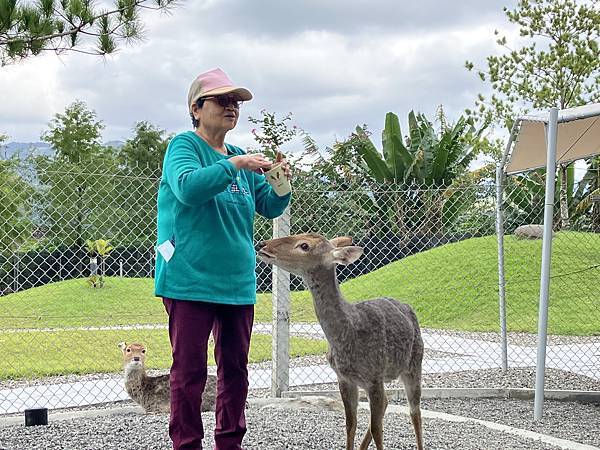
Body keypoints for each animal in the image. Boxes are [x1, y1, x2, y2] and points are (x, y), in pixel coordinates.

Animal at [255, 234, 424, 448]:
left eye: (304, 245)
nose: (262, 244)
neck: (346, 336)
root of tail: (408, 308)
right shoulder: (344, 378)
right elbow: (350, 424)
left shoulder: (375, 375)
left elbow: (377, 430)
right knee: (387, 403)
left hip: (414, 363)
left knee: (414, 412)